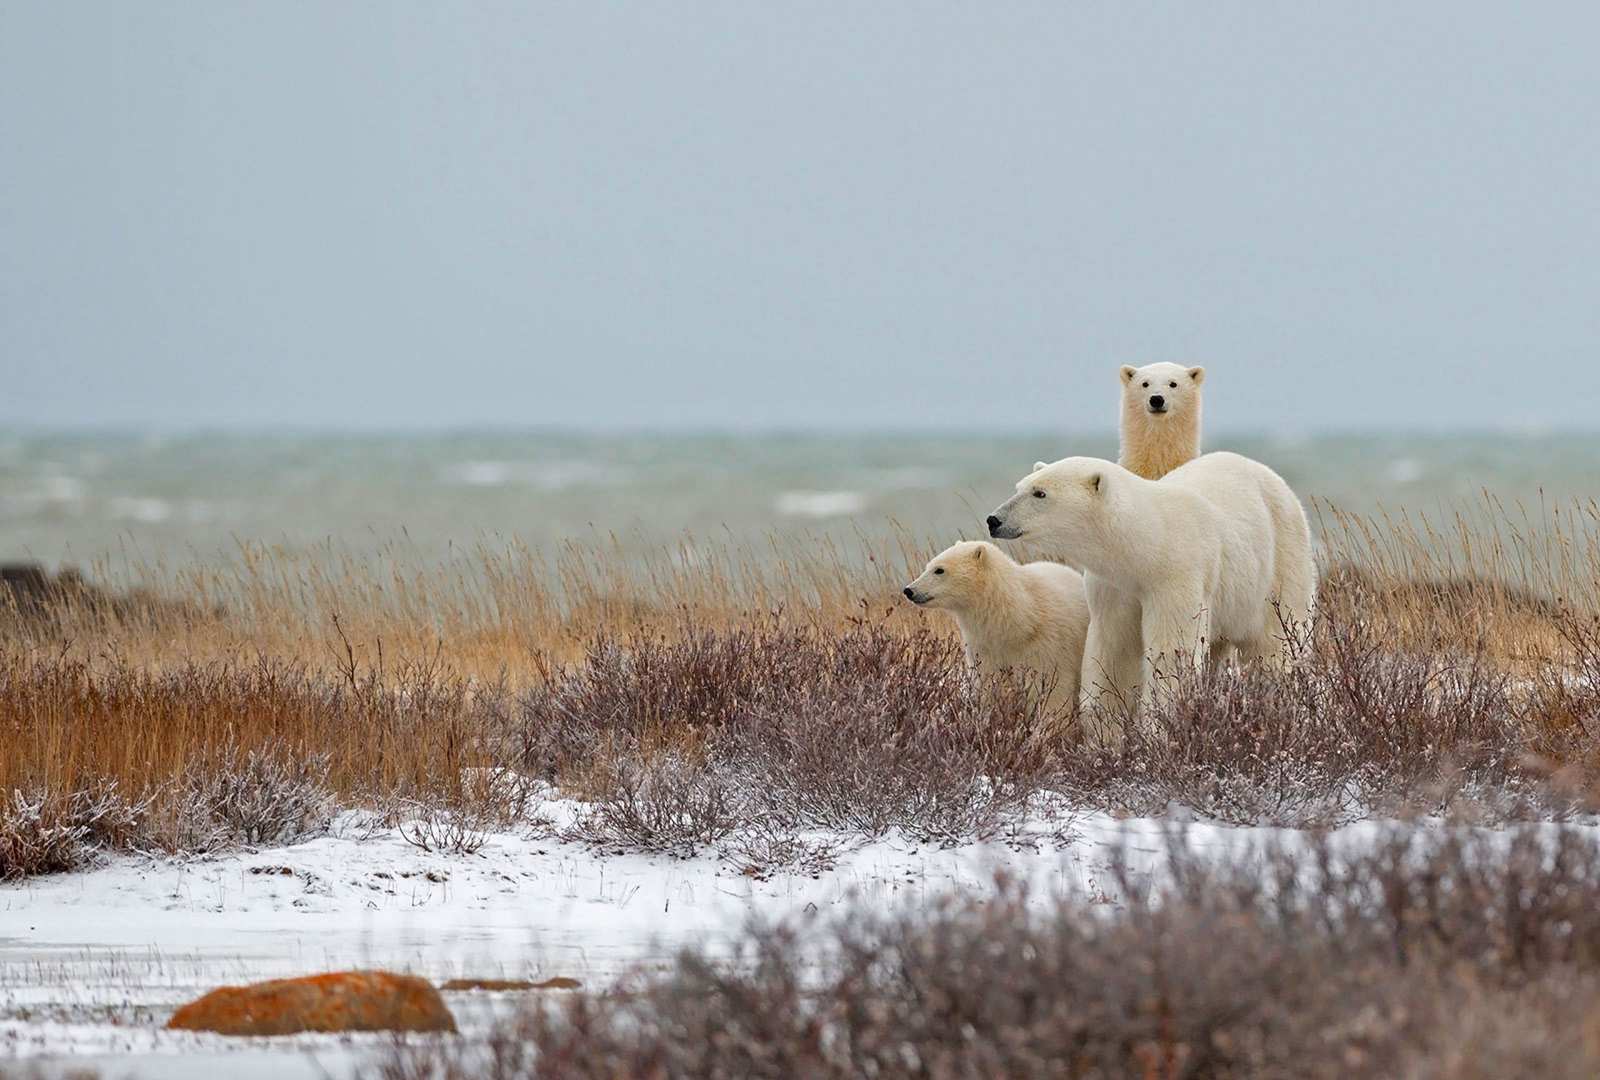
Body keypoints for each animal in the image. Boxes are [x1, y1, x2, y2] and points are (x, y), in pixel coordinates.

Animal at [902, 540, 1089, 712]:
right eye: (928, 566)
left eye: (939, 570)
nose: (909, 590)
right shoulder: (985, 648)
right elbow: (988, 685)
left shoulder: (1048, 647)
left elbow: (1052, 691)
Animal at [985, 451, 1315, 721]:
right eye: (1020, 486)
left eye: (1040, 493)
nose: (994, 520)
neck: (1150, 544)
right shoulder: (1114, 587)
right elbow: (1113, 651)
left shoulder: (1176, 576)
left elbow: (1170, 653)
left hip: (1279, 560)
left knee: (1275, 645)